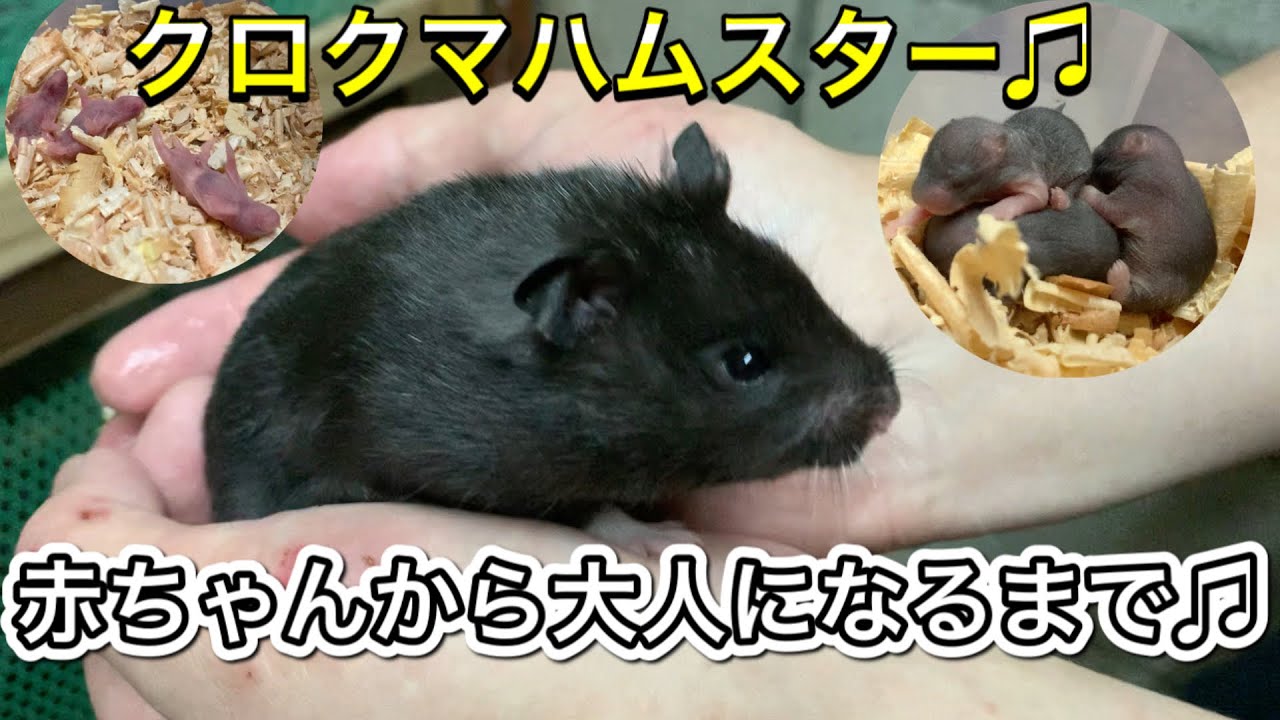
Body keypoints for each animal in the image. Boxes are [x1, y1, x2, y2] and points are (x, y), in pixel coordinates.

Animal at [1079, 125, 1217, 313]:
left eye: (1100, 151)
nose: (1089, 166)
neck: (1164, 162)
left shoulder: (1139, 192)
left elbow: (1110, 207)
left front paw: (1086, 190)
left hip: (1159, 288)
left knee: (1128, 297)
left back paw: (1119, 274)